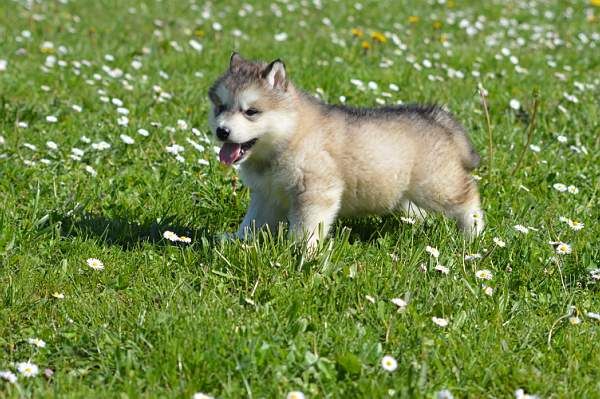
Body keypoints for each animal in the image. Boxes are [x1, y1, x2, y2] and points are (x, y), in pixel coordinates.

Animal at [209, 53, 486, 247]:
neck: (290, 137)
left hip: (435, 185)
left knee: (468, 197)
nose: (221, 131)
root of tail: (435, 116)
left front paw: (299, 252)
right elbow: (252, 222)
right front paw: (236, 240)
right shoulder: (265, 194)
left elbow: (305, 228)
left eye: (251, 112)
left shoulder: (316, 192)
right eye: (220, 107)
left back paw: (473, 234)